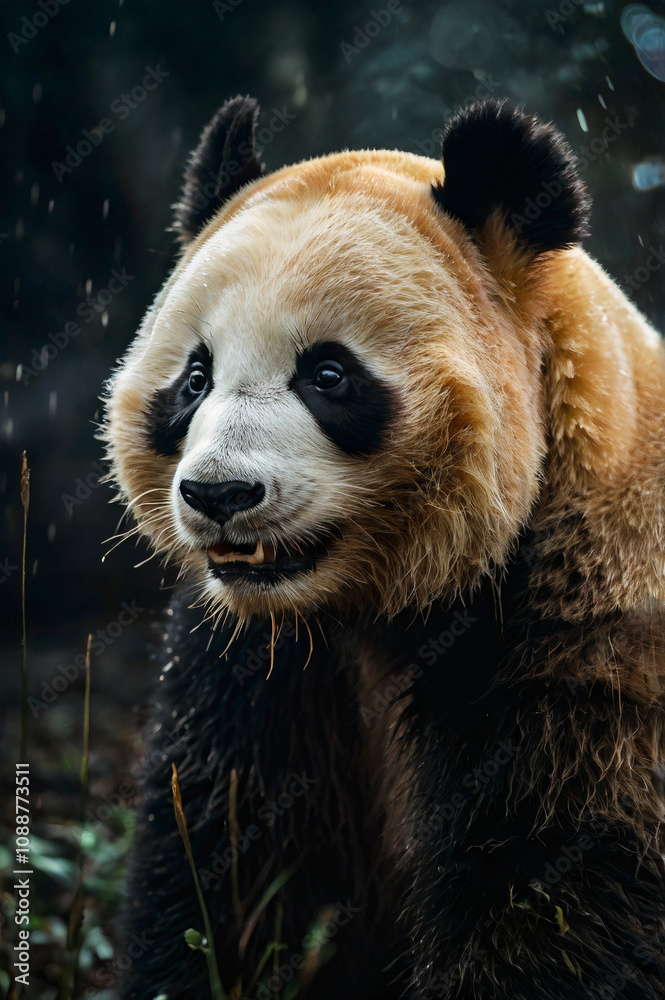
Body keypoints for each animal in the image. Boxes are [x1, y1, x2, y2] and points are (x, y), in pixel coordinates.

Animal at [104, 96, 665, 999]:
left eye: (328, 375)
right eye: (194, 378)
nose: (219, 496)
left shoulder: (582, 640)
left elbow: (554, 889)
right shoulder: (256, 665)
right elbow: (231, 853)